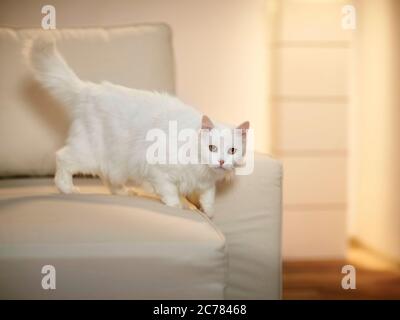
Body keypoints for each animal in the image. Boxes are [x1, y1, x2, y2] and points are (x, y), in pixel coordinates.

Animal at [26, 37, 248, 218]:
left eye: (232, 151)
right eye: (212, 148)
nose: (221, 161)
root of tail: (89, 90)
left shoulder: (207, 184)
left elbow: (209, 197)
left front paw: (208, 213)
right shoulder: (158, 170)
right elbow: (170, 192)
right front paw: (177, 207)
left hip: (114, 160)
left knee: (108, 177)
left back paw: (123, 192)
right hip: (89, 153)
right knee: (63, 158)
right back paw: (67, 189)